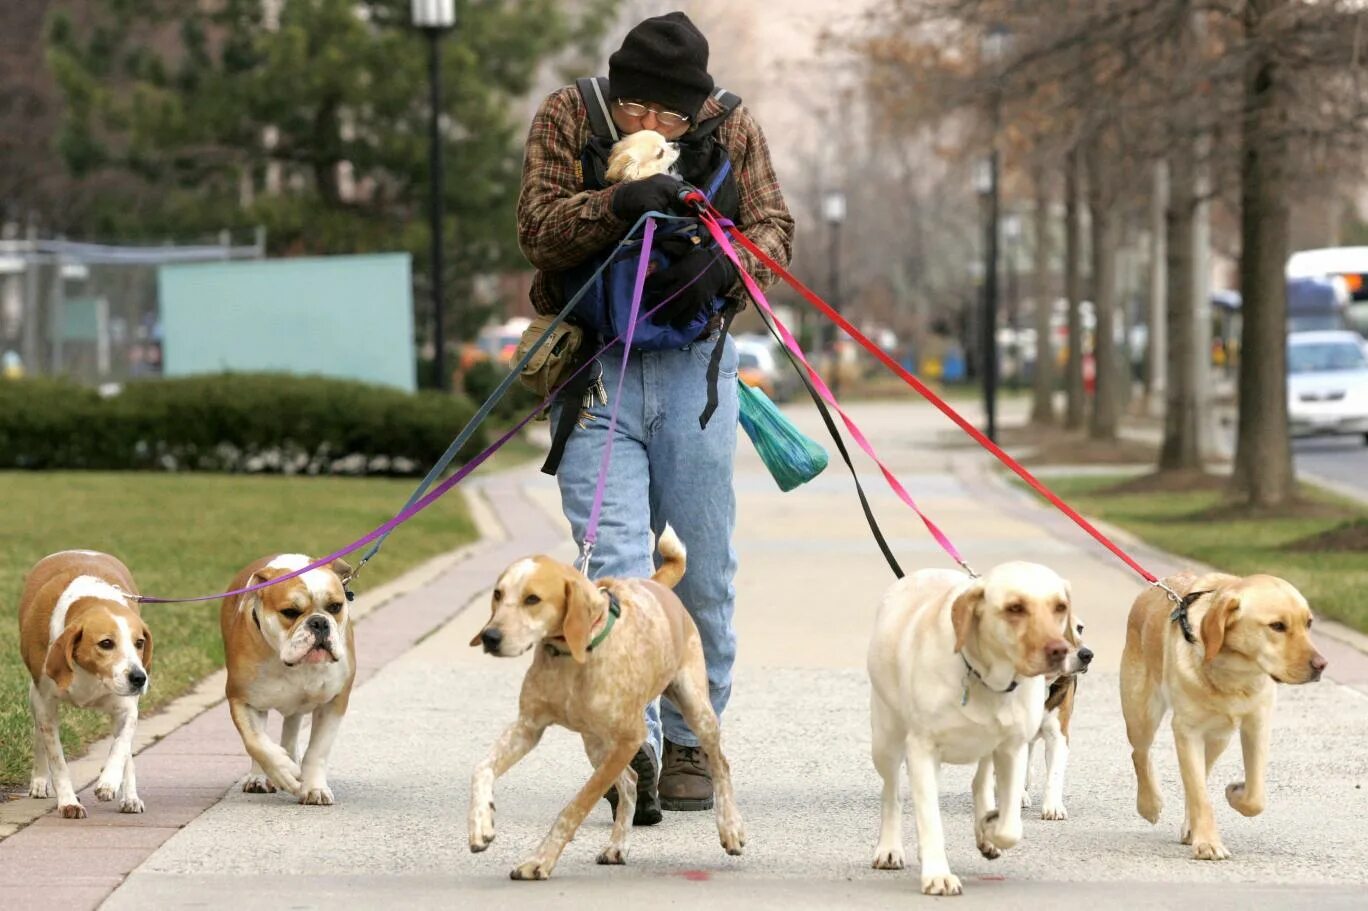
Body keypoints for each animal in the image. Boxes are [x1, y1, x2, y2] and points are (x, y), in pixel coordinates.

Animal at [870, 560, 1083, 891]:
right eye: (1015, 608)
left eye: (1060, 606)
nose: (1061, 650)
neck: (986, 679)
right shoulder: (922, 749)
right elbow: (929, 818)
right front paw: (937, 874)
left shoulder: (1013, 747)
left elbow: (1010, 826)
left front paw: (990, 829)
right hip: (886, 740)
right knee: (891, 793)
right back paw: (889, 849)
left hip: (990, 745)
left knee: (981, 781)